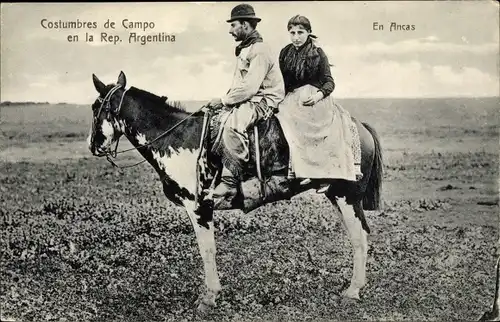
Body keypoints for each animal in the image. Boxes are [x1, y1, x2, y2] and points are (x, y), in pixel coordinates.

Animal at [88, 71, 382, 312]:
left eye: (95, 107)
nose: (93, 146)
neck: (179, 138)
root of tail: (361, 127)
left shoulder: (199, 208)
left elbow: (207, 250)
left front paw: (208, 297)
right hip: (336, 196)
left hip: (348, 197)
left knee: (360, 238)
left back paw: (353, 291)